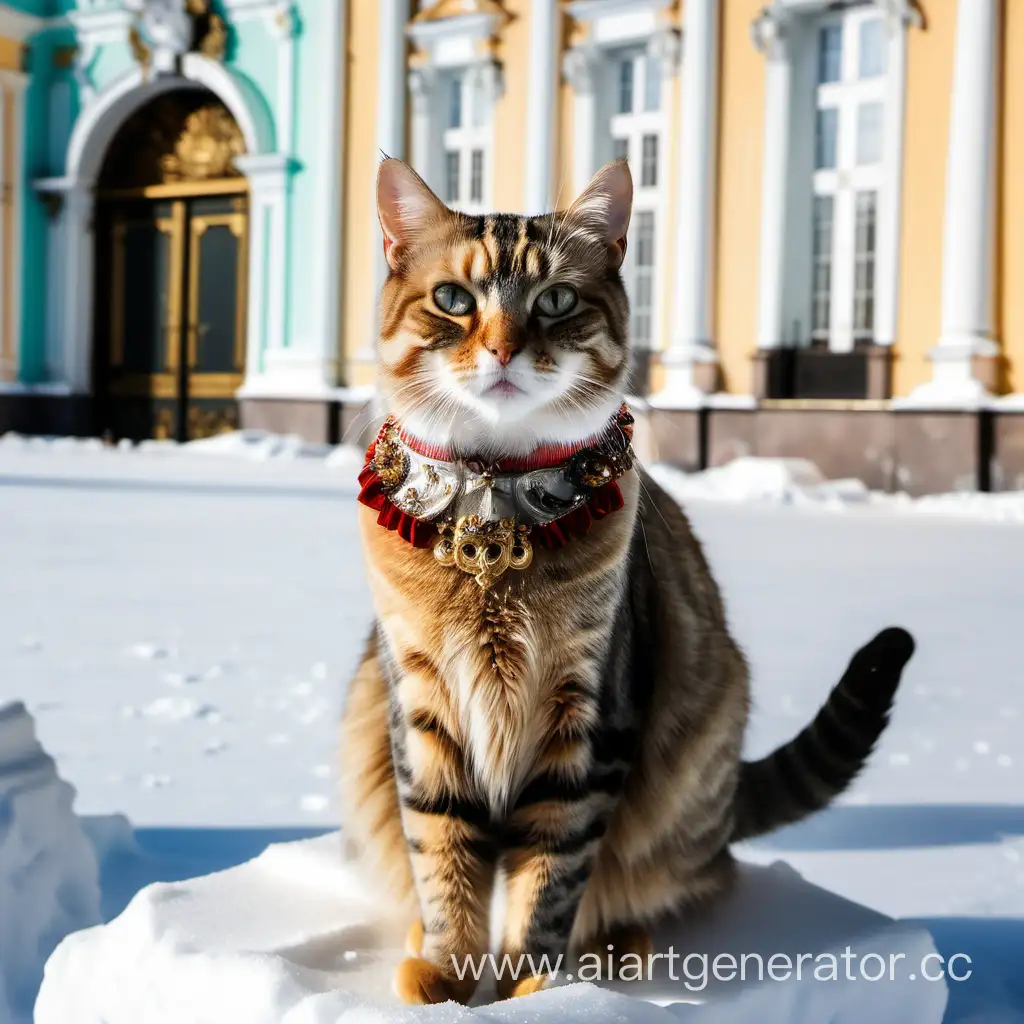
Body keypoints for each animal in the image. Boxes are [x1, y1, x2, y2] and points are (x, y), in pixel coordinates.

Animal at [342, 159, 913, 1007]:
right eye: (454, 299)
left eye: (555, 300)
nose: (504, 350)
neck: (492, 519)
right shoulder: (422, 703)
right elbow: (442, 850)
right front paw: (448, 972)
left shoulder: (588, 718)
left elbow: (550, 877)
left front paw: (531, 987)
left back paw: (620, 945)